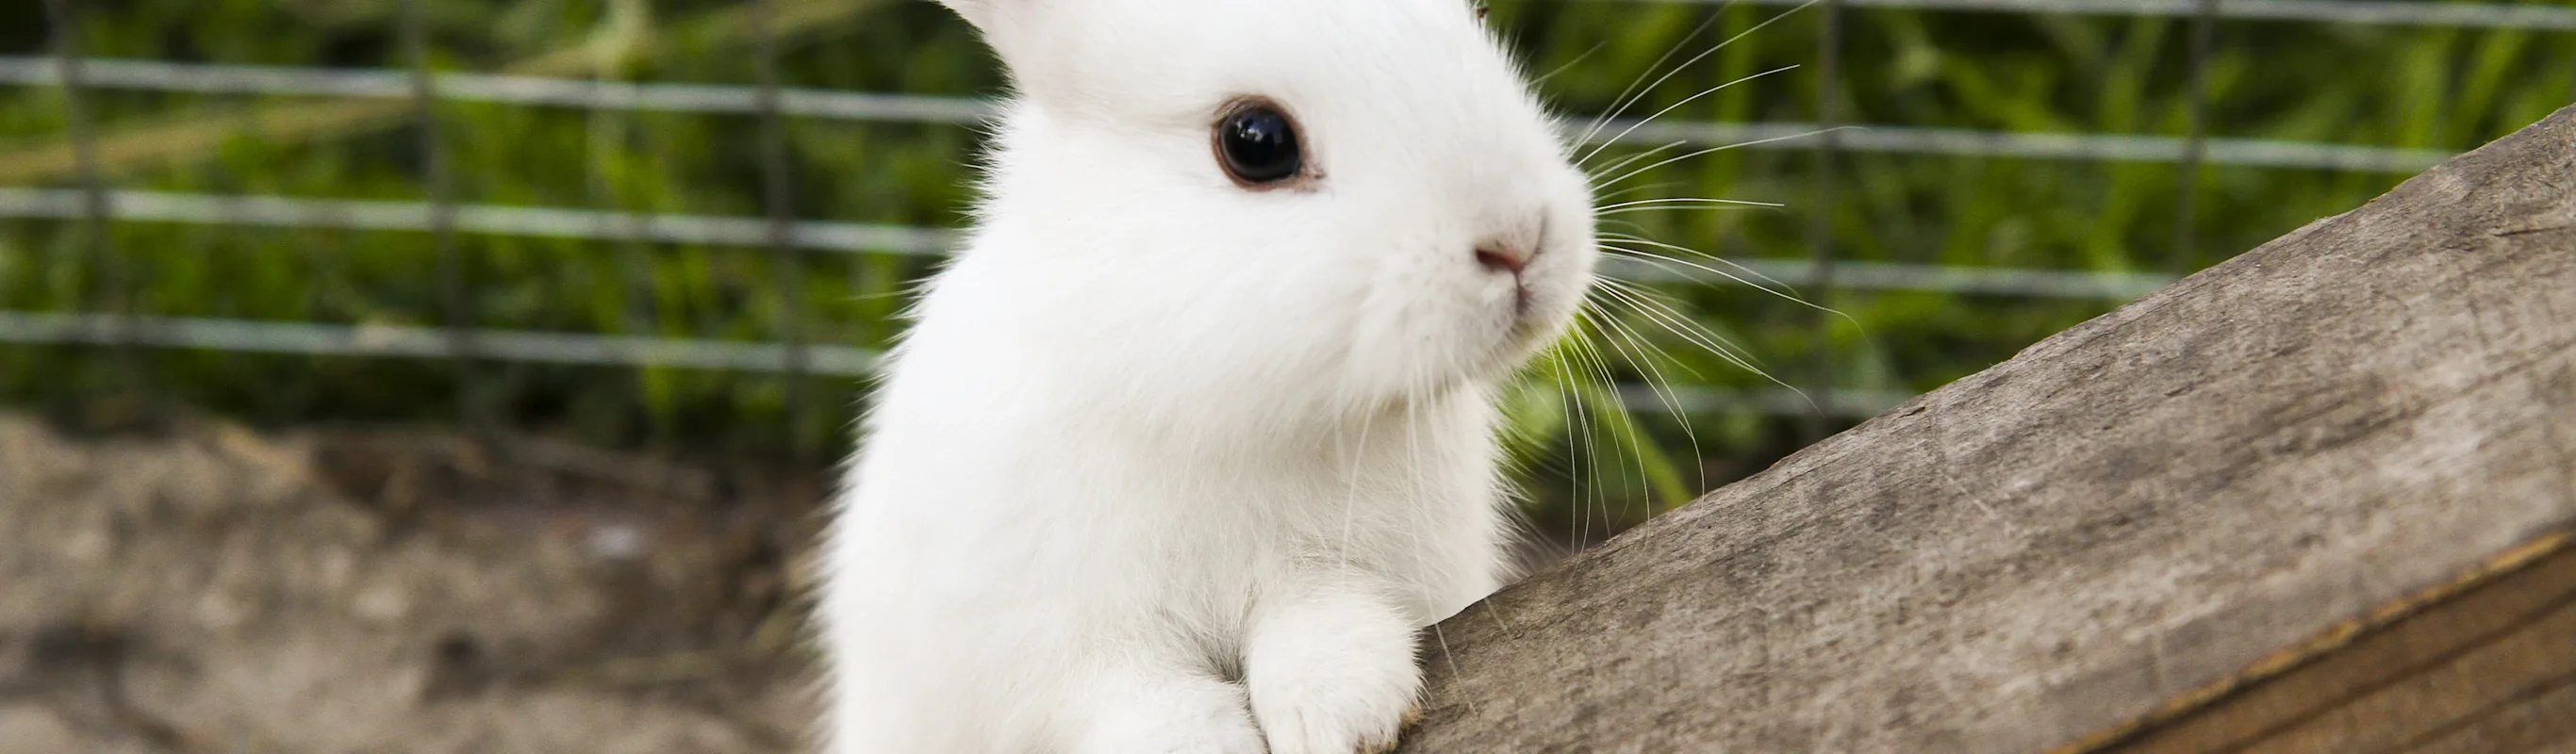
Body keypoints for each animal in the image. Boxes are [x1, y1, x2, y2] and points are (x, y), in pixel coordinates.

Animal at [818, 0, 1597, 751]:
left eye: (1475, 22)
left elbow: (1322, 615)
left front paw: (1347, 713)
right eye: (1257, 142)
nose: (1520, 240)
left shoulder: (1346, 567)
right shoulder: (1051, 647)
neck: (1206, 407)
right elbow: (1137, 700)